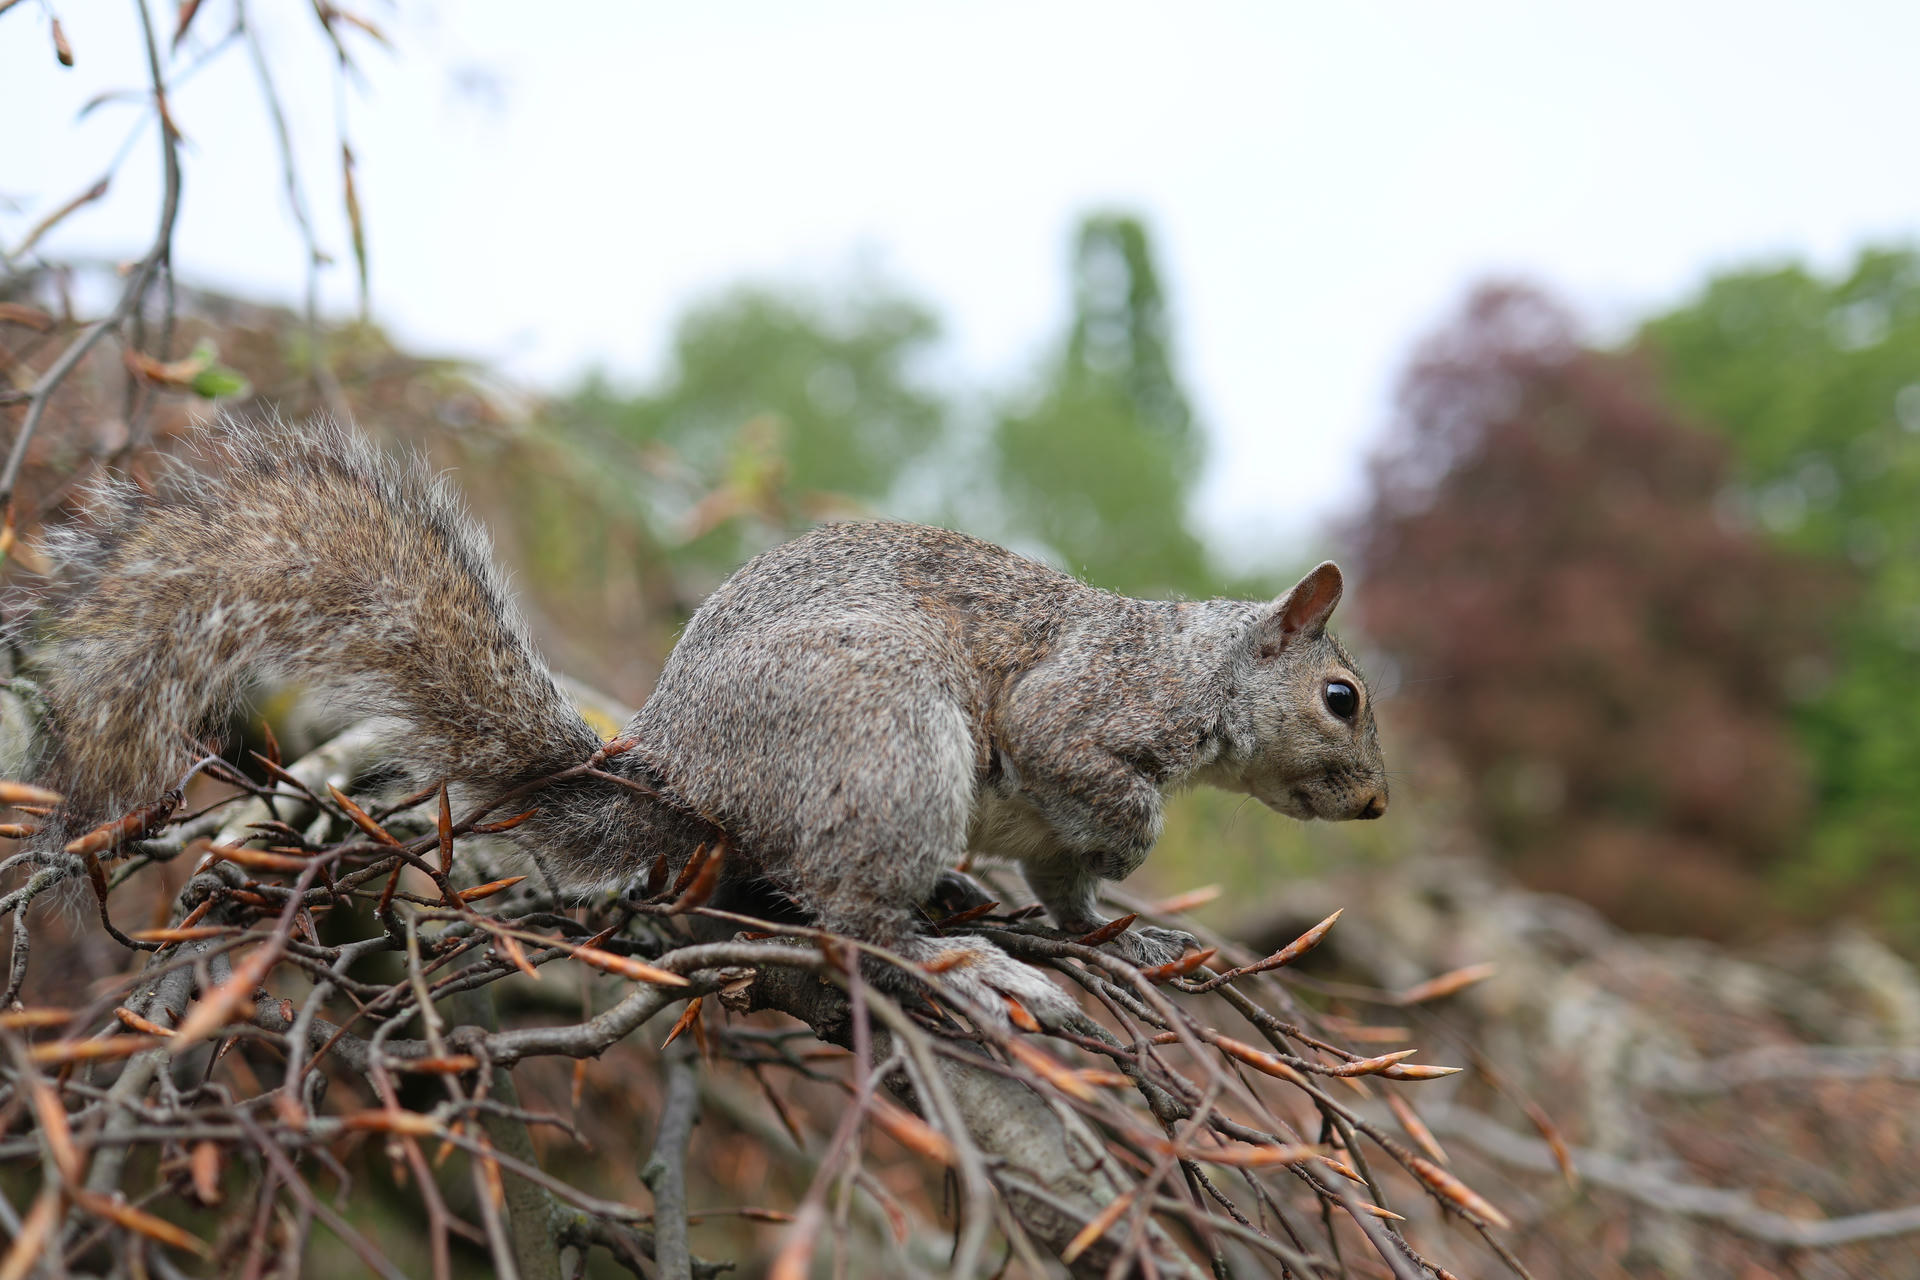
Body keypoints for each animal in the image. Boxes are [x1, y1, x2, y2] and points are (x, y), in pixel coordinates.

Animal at [26, 419, 1387, 1027]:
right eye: (1343, 698)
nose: (1378, 802)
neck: (1194, 670)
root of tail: (687, 772)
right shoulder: (1083, 702)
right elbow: (1083, 777)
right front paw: (1134, 849)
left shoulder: (1052, 844)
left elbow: (1070, 892)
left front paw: (1133, 935)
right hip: (887, 733)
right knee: (856, 923)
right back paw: (969, 958)